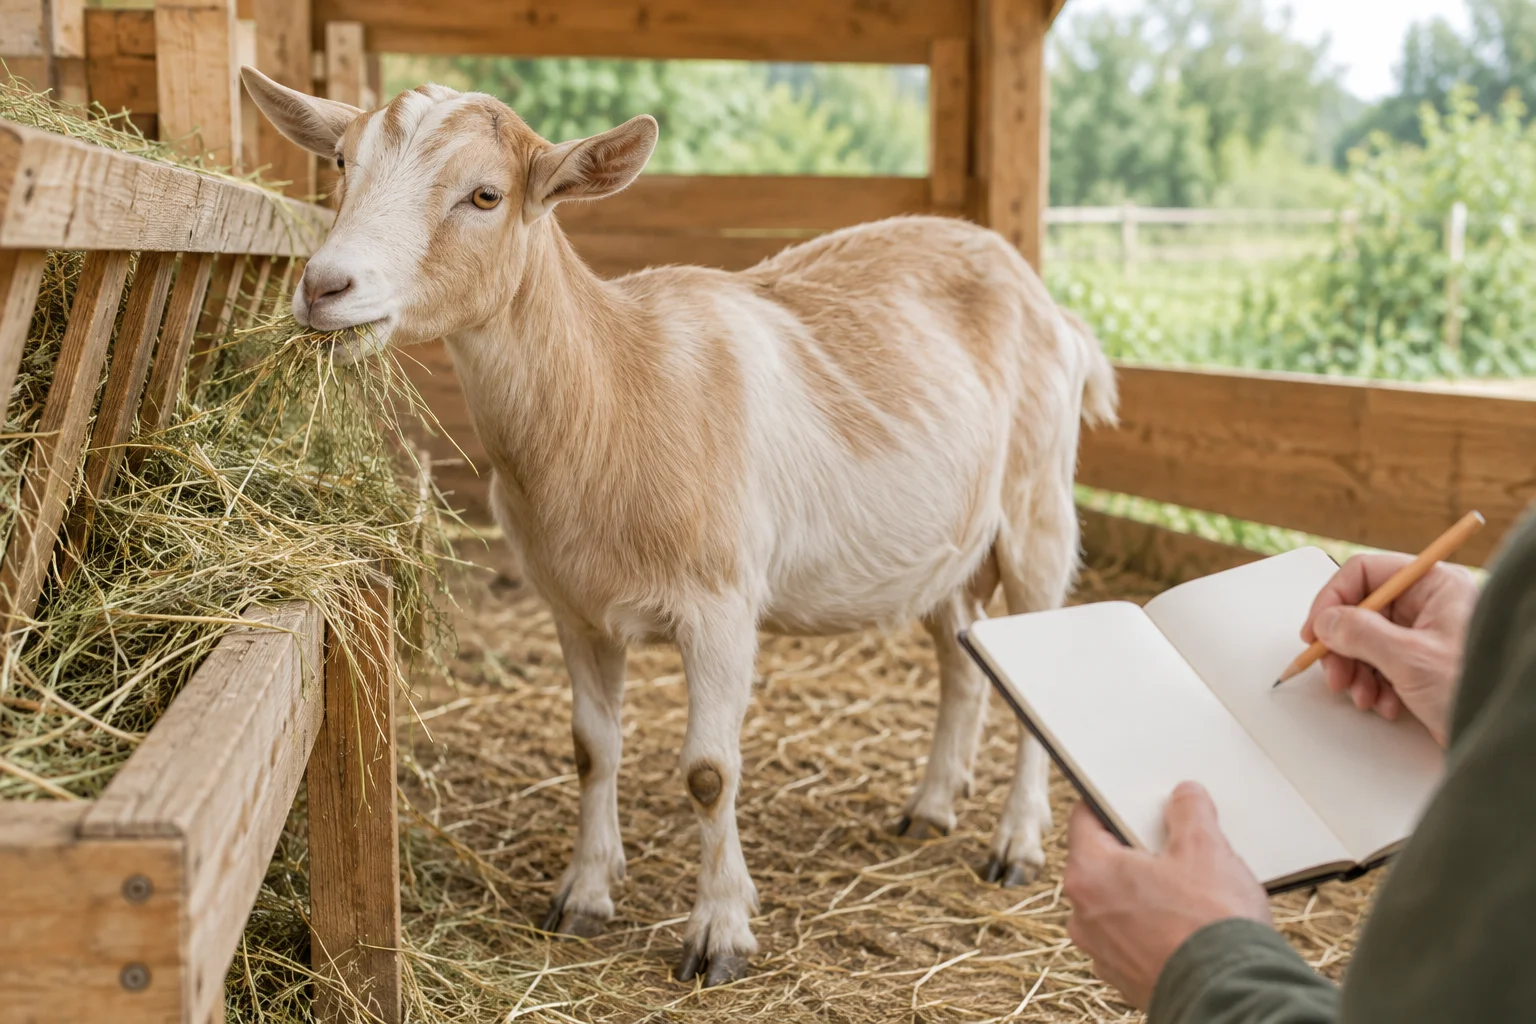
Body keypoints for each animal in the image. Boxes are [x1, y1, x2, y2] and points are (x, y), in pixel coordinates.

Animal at [243, 69, 1118, 987]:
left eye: (485, 195)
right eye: (343, 162)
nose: (324, 287)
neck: (616, 389)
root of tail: (1046, 301)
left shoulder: (721, 605)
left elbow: (708, 774)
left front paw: (719, 933)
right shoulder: (574, 606)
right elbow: (592, 747)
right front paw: (584, 896)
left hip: (1038, 507)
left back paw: (1014, 846)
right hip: (949, 542)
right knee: (961, 657)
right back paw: (932, 807)